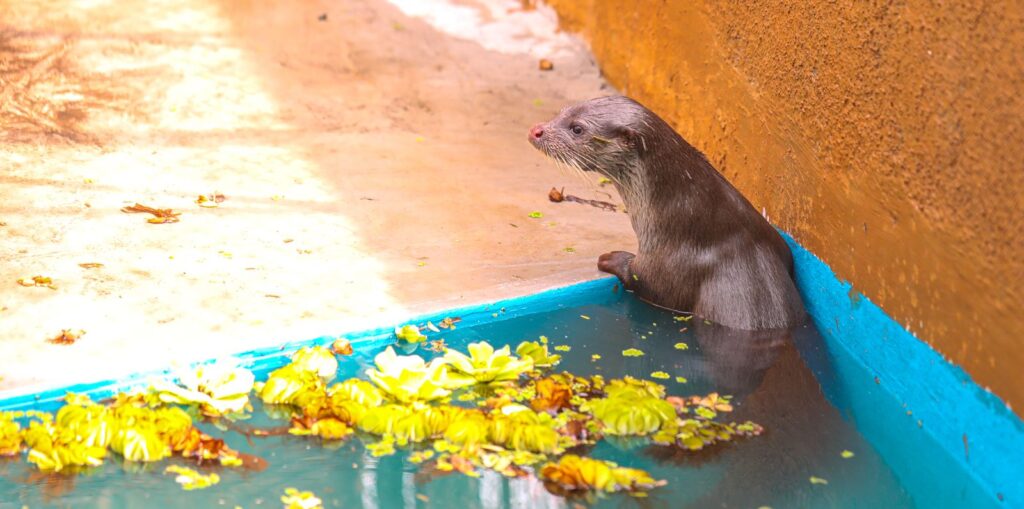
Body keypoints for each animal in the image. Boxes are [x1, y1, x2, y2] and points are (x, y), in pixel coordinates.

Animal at [529, 95, 805, 330]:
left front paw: (612, 258)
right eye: (564, 111)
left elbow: (646, 282)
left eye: (577, 129)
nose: (536, 130)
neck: (685, 215)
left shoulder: (667, 268)